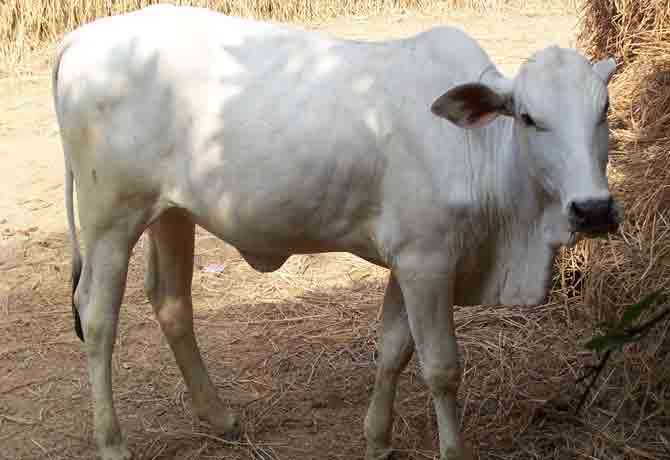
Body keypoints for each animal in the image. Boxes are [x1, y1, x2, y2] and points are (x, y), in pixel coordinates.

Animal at [52, 4, 620, 460]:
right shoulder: (428, 262)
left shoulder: (407, 262)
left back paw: (218, 415)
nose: (593, 209)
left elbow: (393, 350)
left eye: (605, 110)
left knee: (172, 303)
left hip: (171, 214)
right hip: (110, 219)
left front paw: (377, 440)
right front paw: (452, 450)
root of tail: (82, 36)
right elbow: (441, 368)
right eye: (528, 117)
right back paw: (112, 443)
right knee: (97, 318)